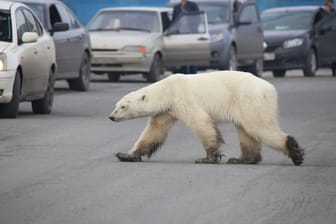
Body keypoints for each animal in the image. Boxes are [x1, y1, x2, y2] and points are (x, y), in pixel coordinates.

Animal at [109, 71, 304, 165]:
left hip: (249, 99)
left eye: (123, 106)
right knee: (246, 132)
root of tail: (270, 88)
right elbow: (154, 132)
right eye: (116, 105)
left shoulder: (184, 98)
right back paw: (242, 159)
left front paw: (207, 158)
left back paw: (295, 151)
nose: (111, 117)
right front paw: (125, 155)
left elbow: (201, 122)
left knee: (259, 127)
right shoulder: (166, 111)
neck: (167, 90)